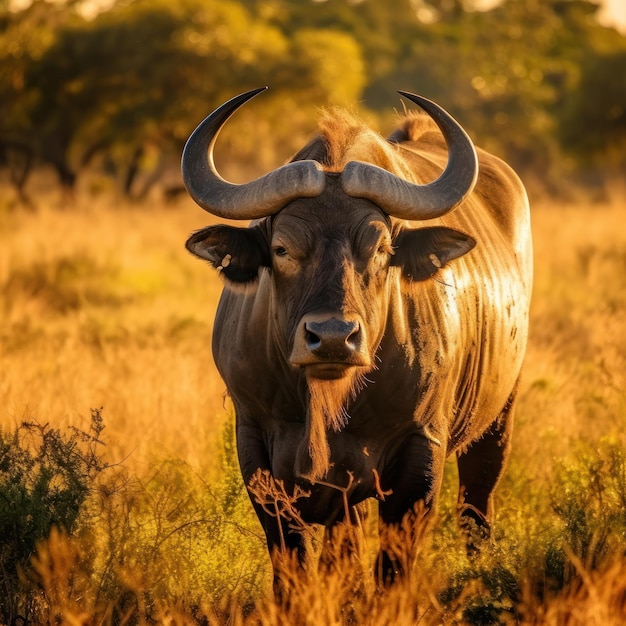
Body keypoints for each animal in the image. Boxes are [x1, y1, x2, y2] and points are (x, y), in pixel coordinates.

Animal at [180, 88, 532, 588]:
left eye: (381, 249)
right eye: (282, 249)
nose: (332, 337)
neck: (327, 401)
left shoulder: (420, 455)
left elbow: (393, 568)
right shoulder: (256, 451)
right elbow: (293, 563)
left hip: (498, 419)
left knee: (476, 505)